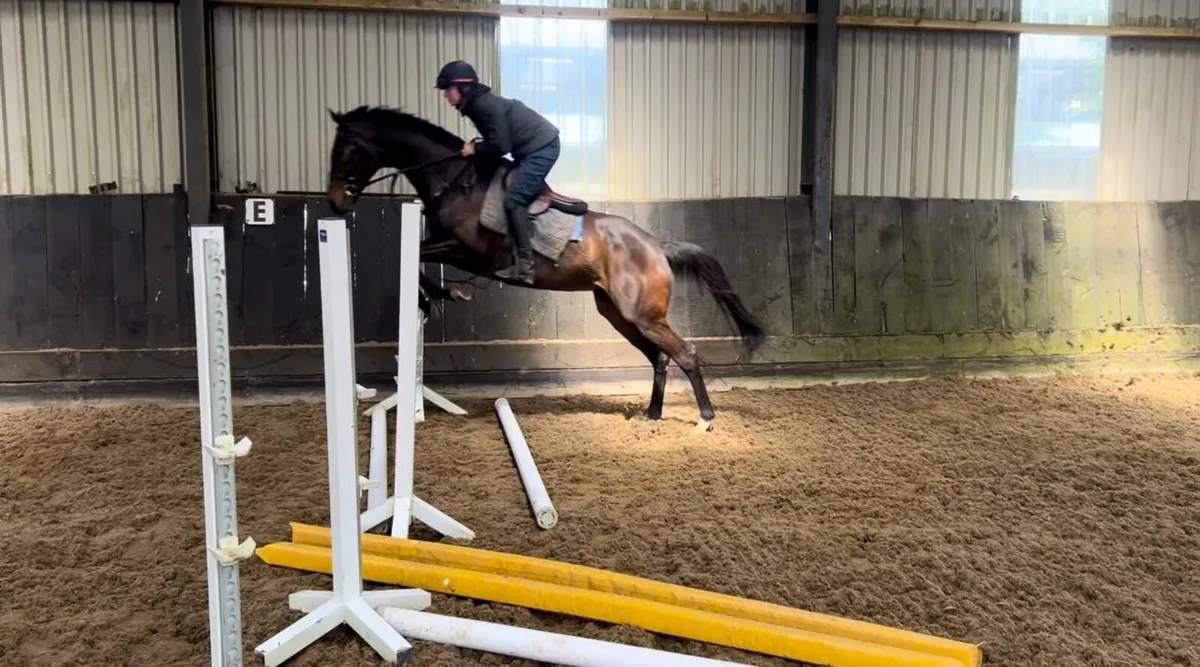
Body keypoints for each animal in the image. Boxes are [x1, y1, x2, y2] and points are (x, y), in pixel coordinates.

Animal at [324, 105, 765, 432]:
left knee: (685, 353)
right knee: (659, 357)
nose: (335, 202)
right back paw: (652, 414)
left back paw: (705, 419)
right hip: (618, 314)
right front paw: (434, 296)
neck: (454, 178)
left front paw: (444, 293)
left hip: (641, 315)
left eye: (346, 149)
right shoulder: (453, 250)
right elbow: (415, 260)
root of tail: (656, 245)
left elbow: (417, 257)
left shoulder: (465, 250)